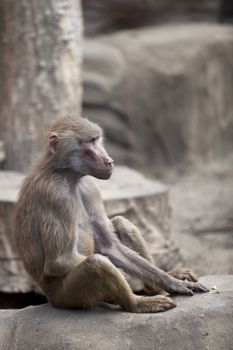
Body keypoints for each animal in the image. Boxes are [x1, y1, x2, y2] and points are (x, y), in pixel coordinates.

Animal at [14, 117, 208, 312]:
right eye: (90, 142)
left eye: (98, 139)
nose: (109, 161)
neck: (66, 173)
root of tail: (50, 298)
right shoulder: (57, 196)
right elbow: (59, 261)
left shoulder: (89, 188)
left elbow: (110, 245)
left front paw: (172, 281)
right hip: (68, 296)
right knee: (97, 263)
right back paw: (137, 303)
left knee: (122, 224)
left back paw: (156, 286)